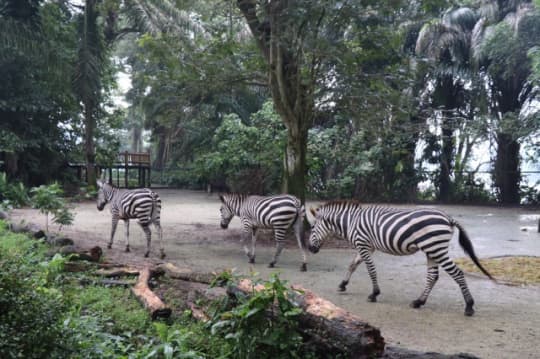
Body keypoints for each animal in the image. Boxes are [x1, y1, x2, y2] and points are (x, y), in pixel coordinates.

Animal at [306, 201, 492, 316]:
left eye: (312, 227)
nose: (310, 248)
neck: (351, 222)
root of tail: (448, 218)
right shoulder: (366, 246)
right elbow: (352, 265)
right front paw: (343, 285)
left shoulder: (363, 245)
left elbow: (370, 270)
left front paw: (374, 294)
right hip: (431, 250)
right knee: (433, 276)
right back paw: (418, 302)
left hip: (436, 248)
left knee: (457, 273)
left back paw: (469, 306)